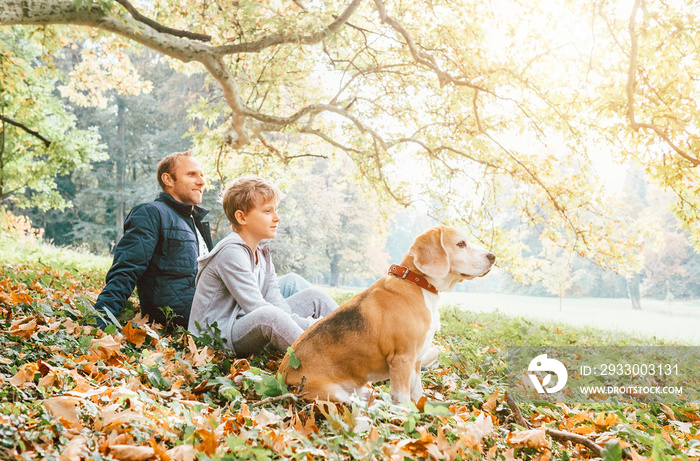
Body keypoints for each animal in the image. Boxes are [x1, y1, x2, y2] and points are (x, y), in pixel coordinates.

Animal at [280, 226, 498, 402]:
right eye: (461, 244)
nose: (493, 257)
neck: (416, 283)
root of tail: (282, 372)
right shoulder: (402, 359)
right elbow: (402, 398)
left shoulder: (416, 360)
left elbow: (417, 391)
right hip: (332, 393)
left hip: (363, 387)